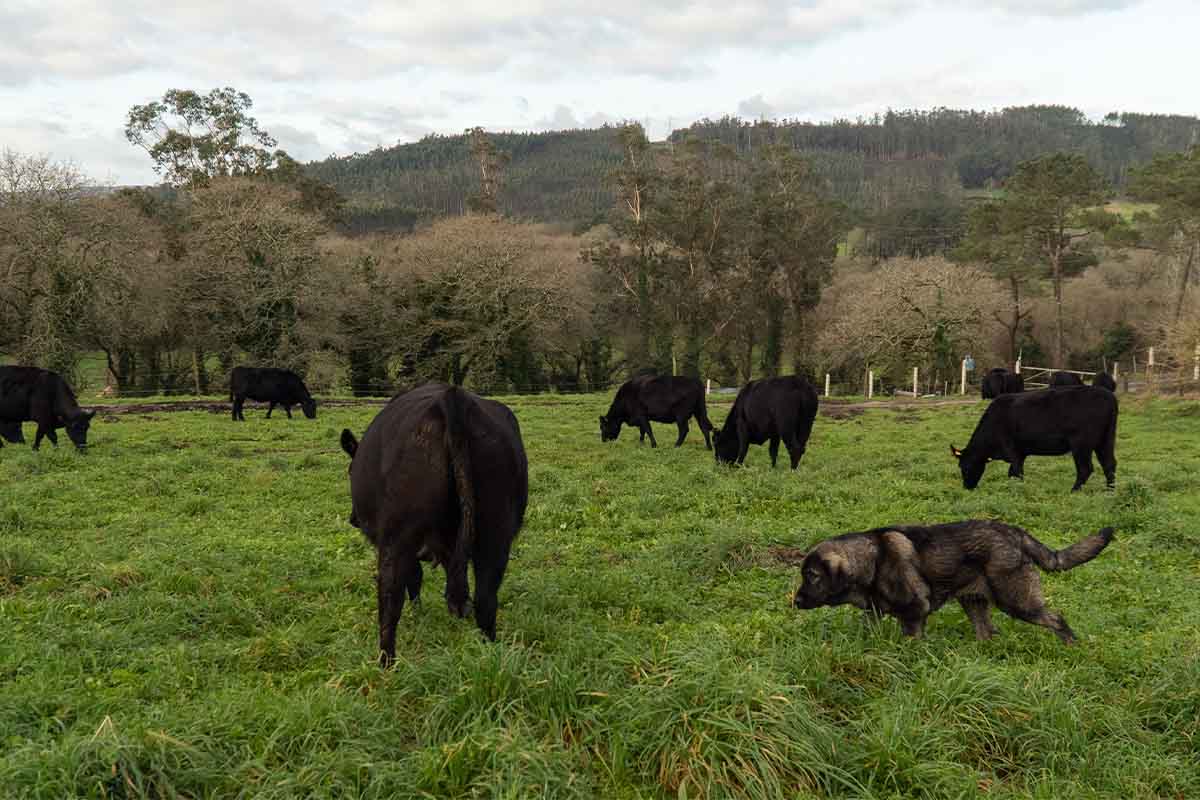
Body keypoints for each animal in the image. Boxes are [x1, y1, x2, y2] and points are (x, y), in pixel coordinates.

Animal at [340, 383, 528, 667]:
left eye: (350, 470)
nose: (352, 519)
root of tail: (452, 396)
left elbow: (414, 578)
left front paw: (417, 612)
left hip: (398, 536)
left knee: (390, 597)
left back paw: (386, 663)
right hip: (495, 534)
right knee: (485, 599)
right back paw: (488, 654)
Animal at [951, 386, 1117, 492]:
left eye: (964, 466)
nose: (967, 487)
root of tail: (1109, 395)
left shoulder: (1011, 449)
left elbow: (1016, 471)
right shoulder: (1021, 453)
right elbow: (1014, 472)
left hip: (1081, 444)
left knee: (1085, 468)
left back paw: (1074, 490)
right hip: (1105, 440)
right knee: (1109, 464)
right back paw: (1110, 491)